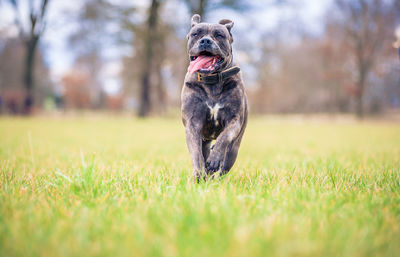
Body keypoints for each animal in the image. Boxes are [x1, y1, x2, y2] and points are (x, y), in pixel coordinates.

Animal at [180, 13, 247, 179]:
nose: (205, 40)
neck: (212, 82)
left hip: (234, 149)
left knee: (224, 167)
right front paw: (198, 174)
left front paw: (215, 158)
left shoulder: (234, 119)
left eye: (219, 35)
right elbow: (196, 154)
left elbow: (224, 137)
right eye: (196, 34)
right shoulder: (192, 123)